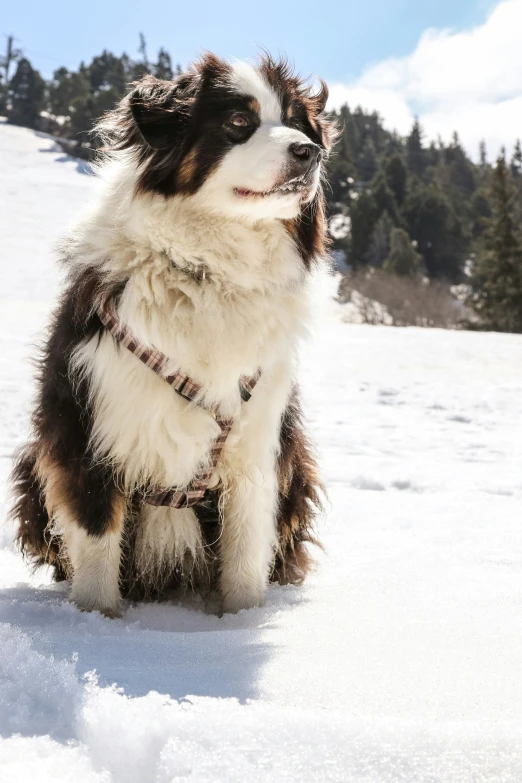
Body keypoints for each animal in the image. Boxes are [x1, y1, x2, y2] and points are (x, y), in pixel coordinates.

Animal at [10, 55, 336, 620]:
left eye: (300, 124)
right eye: (238, 122)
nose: (309, 152)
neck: (207, 273)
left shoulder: (258, 440)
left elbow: (245, 550)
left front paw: (239, 622)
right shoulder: (89, 427)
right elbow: (97, 543)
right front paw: (97, 623)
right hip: (33, 464)